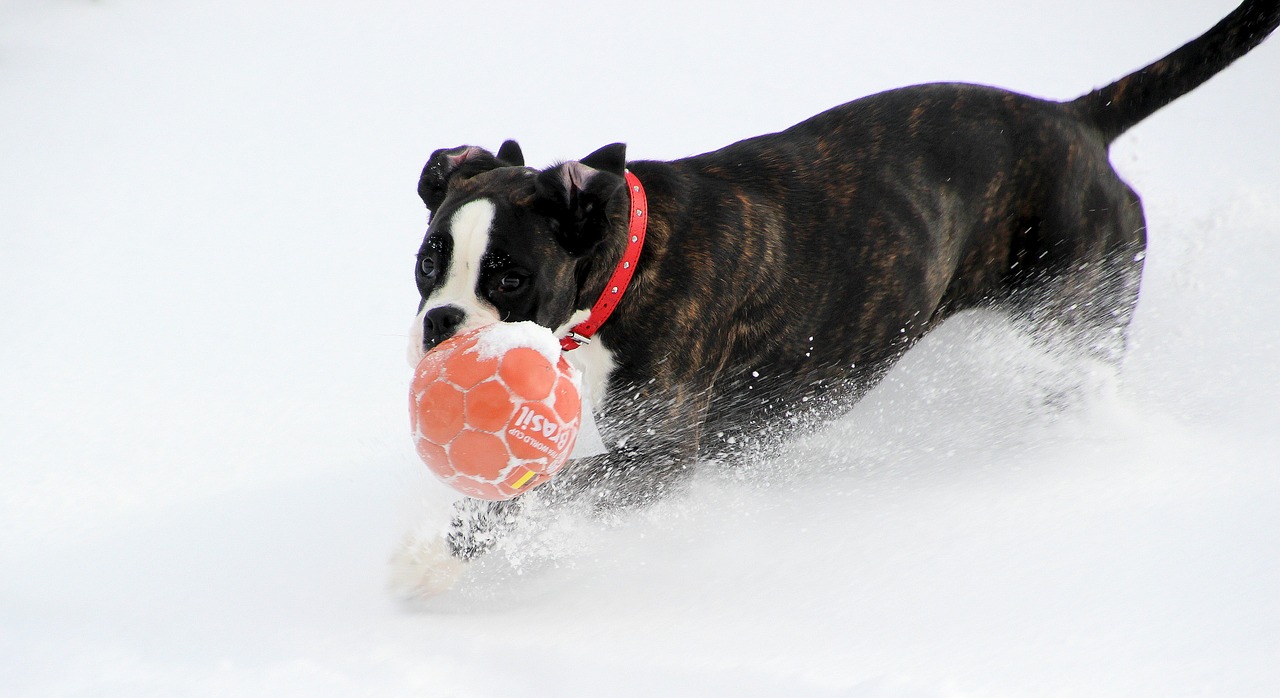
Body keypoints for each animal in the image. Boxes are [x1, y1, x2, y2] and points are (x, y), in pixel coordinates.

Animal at [389, 2, 1280, 596]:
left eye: (509, 276)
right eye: (429, 261)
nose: (441, 324)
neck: (627, 255)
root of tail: (1078, 122)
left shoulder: (654, 459)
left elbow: (544, 492)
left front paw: (448, 548)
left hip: (1077, 314)